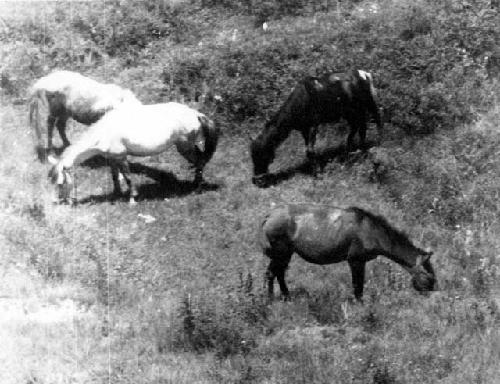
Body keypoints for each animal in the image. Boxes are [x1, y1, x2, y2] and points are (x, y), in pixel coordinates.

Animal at [48, 102, 219, 204]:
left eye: (61, 183)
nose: (62, 201)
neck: (103, 132)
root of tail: (197, 114)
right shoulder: (112, 158)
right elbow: (115, 177)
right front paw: (116, 194)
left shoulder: (122, 157)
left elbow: (128, 178)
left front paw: (132, 198)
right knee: (200, 159)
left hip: (184, 147)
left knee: (199, 161)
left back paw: (196, 187)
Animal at [250, 69, 382, 186]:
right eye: (252, 156)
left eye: (263, 154)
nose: (257, 180)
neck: (302, 99)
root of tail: (365, 74)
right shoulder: (304, 129)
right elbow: (308, 151)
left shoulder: (313, 125)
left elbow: (310, 151)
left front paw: (318, 174)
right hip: (350, 112)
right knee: (358, 128)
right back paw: (351, 153)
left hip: (369, 104)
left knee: (375, 122)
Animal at [260, 204, 436, 300]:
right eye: (428, 277)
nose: (432, 292)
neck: (373, 231)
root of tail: (269, 215)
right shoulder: (355, 260)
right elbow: (358, 287)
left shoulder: (360, 261)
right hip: (281, 252)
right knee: (271, 273)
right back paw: (270, 298)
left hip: (286, 253)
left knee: (278, 273)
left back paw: (286, 296)